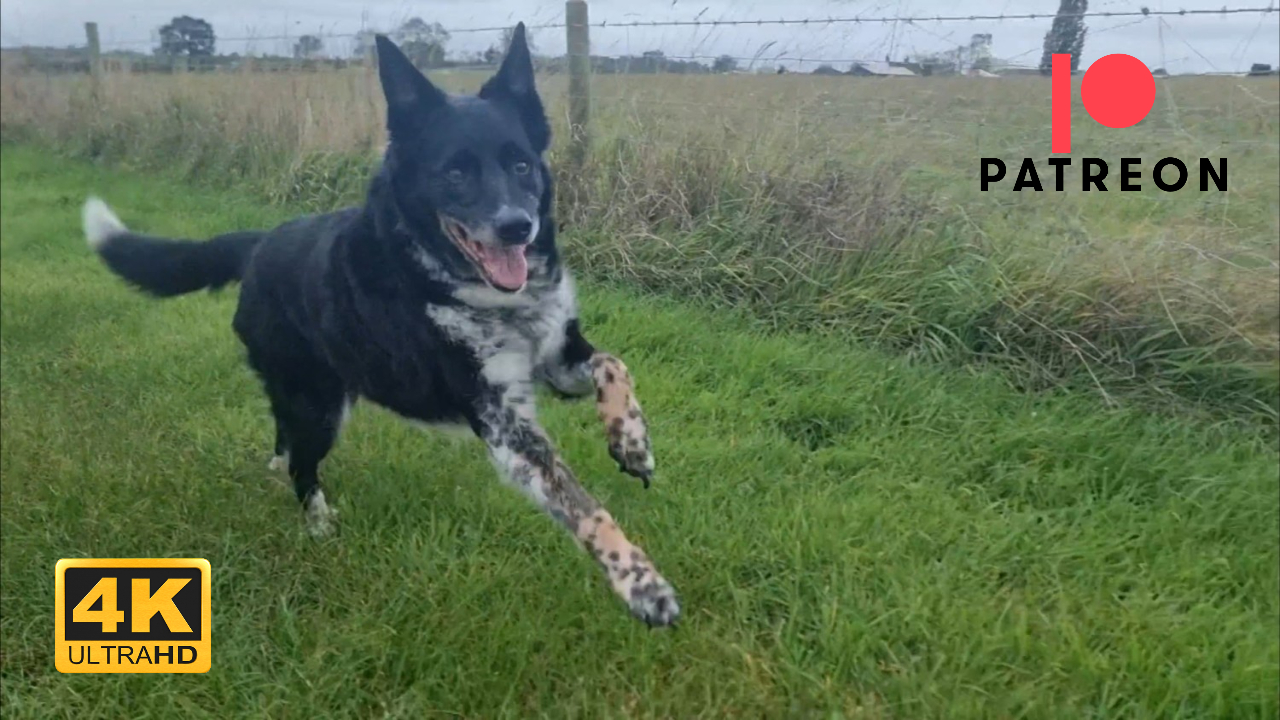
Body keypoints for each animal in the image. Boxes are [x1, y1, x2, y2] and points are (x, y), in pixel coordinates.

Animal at [80, 25, 680, 625]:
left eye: (522, 165)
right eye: (454, 172)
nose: (517, 227)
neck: (461, 281)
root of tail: (260, 243)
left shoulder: (557, 358)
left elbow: (613, 363)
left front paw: (633, 443)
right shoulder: (503, 423)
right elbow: (579, 501)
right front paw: (641, 584)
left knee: (283, 437)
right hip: (319, 403)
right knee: (304, 467)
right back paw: (319, 524)